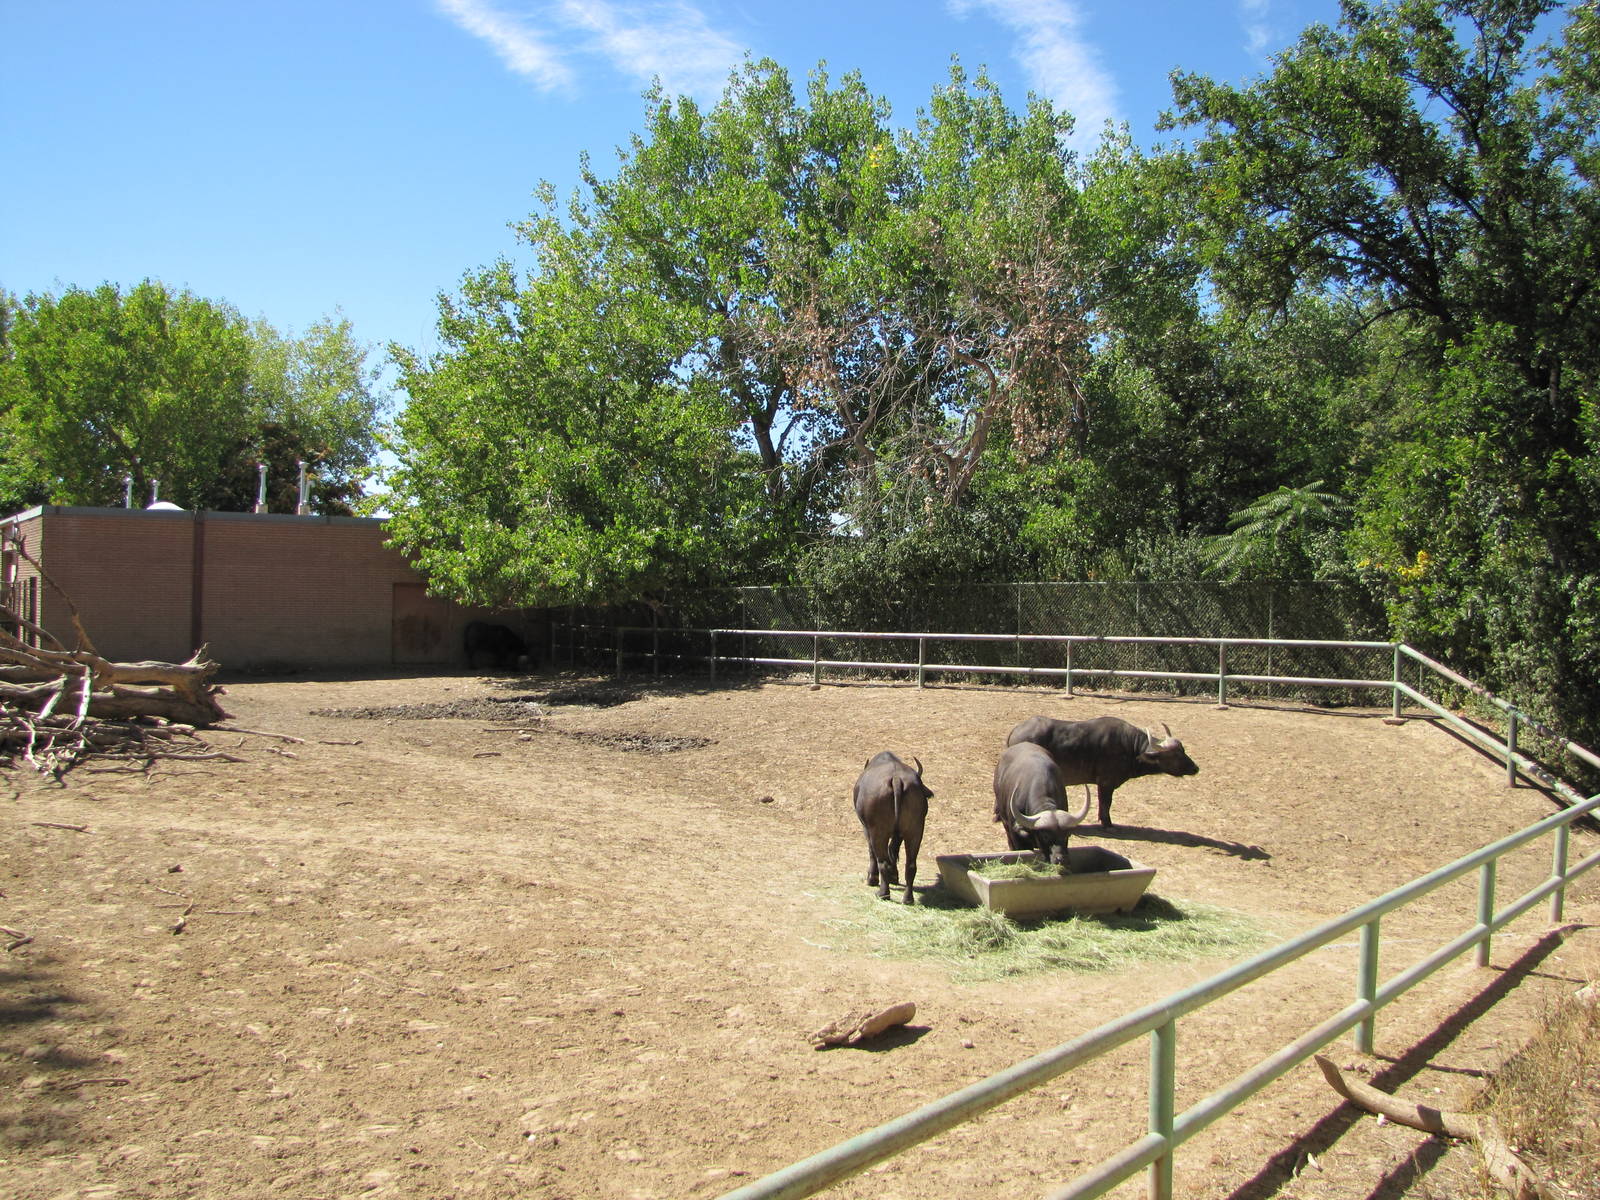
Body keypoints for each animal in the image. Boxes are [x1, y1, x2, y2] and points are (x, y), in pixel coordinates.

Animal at [851, 751, 933, 904]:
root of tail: (896, 779)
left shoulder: (867, 829)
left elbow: (873, 852)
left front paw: (872, 878)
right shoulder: (899, 833)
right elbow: (894, 850)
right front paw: (894, 876)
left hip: (878, 831)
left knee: (882, 861)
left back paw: (883, 893)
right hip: (915, 829)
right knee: (910, 865)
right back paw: (908, 899)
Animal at [1005, 714, 1199, 827]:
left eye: (1183, 750)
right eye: (1175, 754)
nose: (1195, 768)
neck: (1130, 747)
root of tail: (1015, 731)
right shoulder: (1106, 782)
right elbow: (1106, 803)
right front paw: (1107, 822)